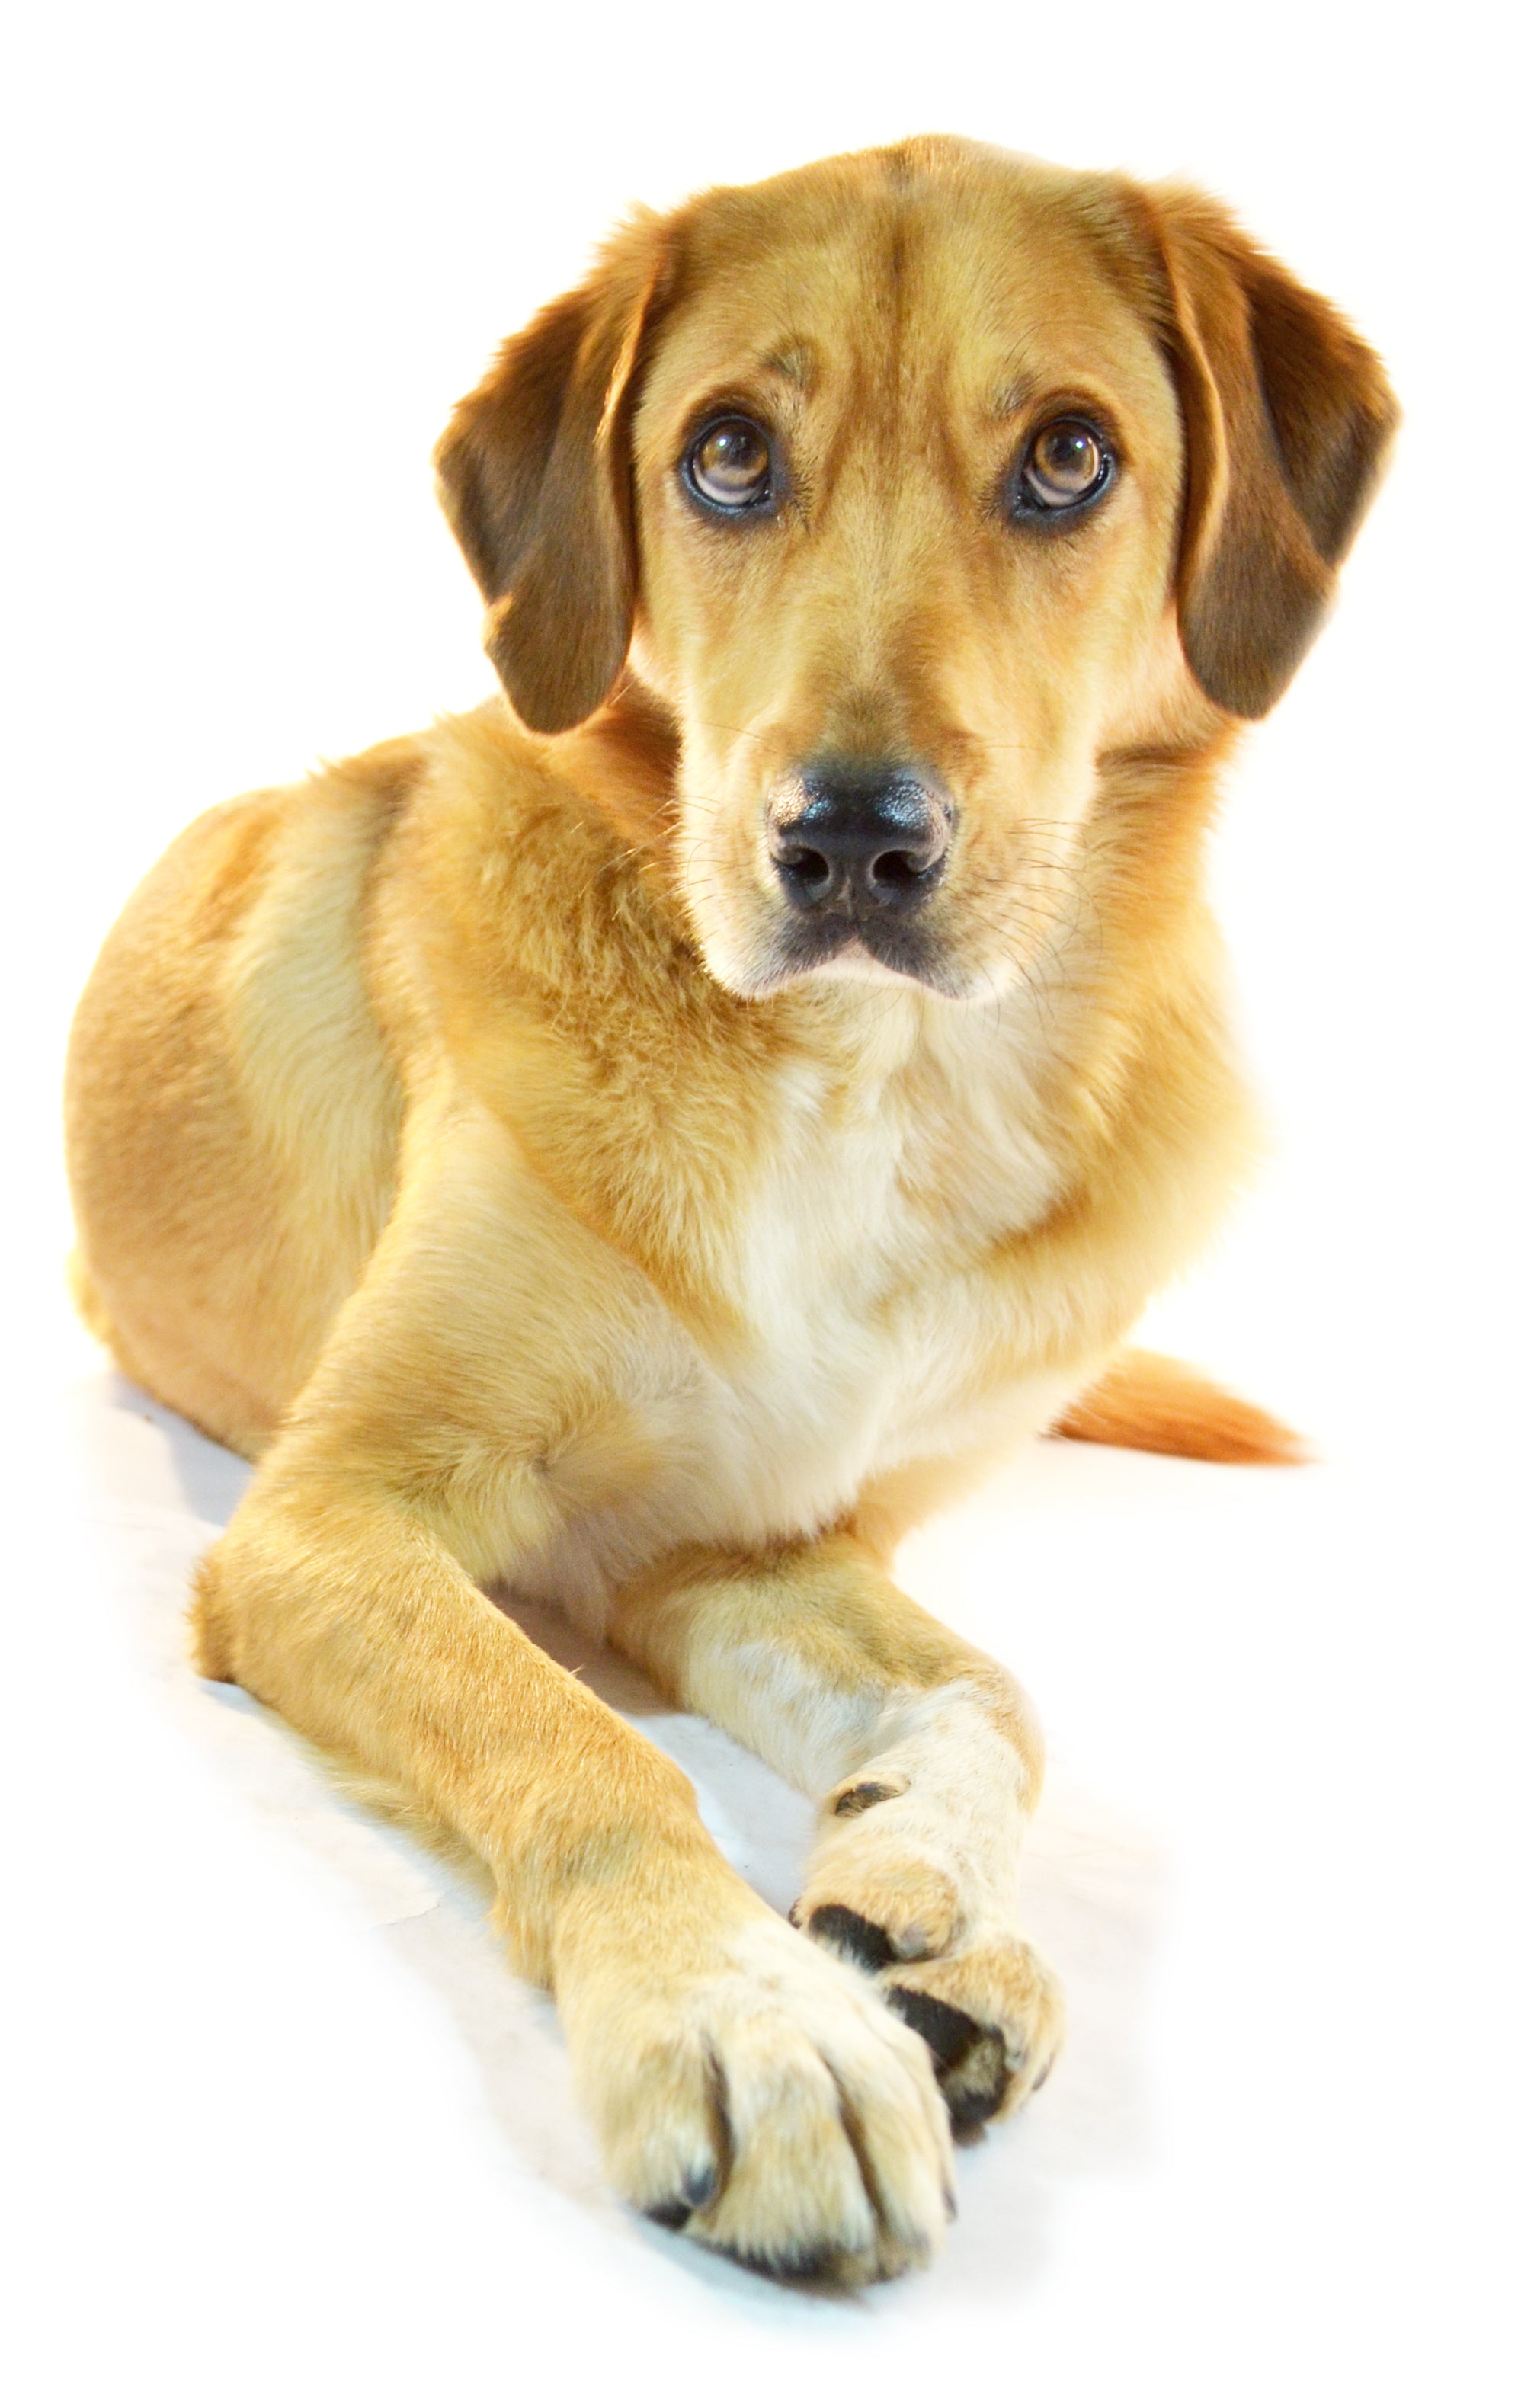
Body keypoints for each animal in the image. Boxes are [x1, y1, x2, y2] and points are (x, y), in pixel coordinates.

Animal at [68, 140, 1407, 2282]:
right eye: (724, 454)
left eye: (1067, 457)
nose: (850, 839)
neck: (870, 1088)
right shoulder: (326, 1519)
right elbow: (580, 1745)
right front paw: (746, 2016)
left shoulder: (737, 1550)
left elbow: (993, 1693)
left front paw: (912, 1890)